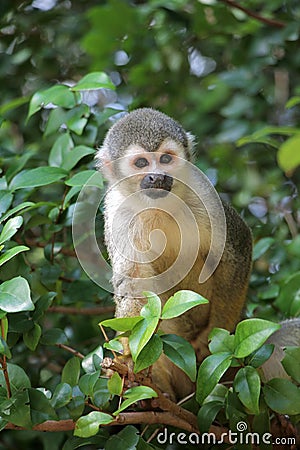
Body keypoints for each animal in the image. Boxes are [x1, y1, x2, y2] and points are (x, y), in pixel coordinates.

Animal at [97, 108, 252, 398]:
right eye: (141, 163)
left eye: (166, 159)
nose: (157, 176)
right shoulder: (118, 211)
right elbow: (134, 281)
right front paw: (128, 360)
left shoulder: (203, 192)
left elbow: (237, 249)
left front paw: (216, 337)